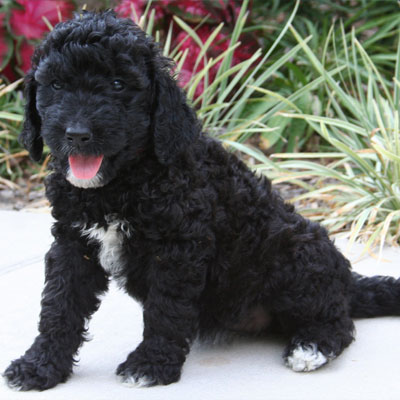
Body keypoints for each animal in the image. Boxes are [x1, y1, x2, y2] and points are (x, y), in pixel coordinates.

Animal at [3, 10, 400, 390]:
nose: (77, 134)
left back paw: (311, 347)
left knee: (338, 320)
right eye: (56, 85)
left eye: (118, 85)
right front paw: (40, 365)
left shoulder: (177, 248)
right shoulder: (73, 243)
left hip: (298, 255)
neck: (120, 184)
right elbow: (59, 305)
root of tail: (346, 280)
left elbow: (165, 310)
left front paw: (151, 365)